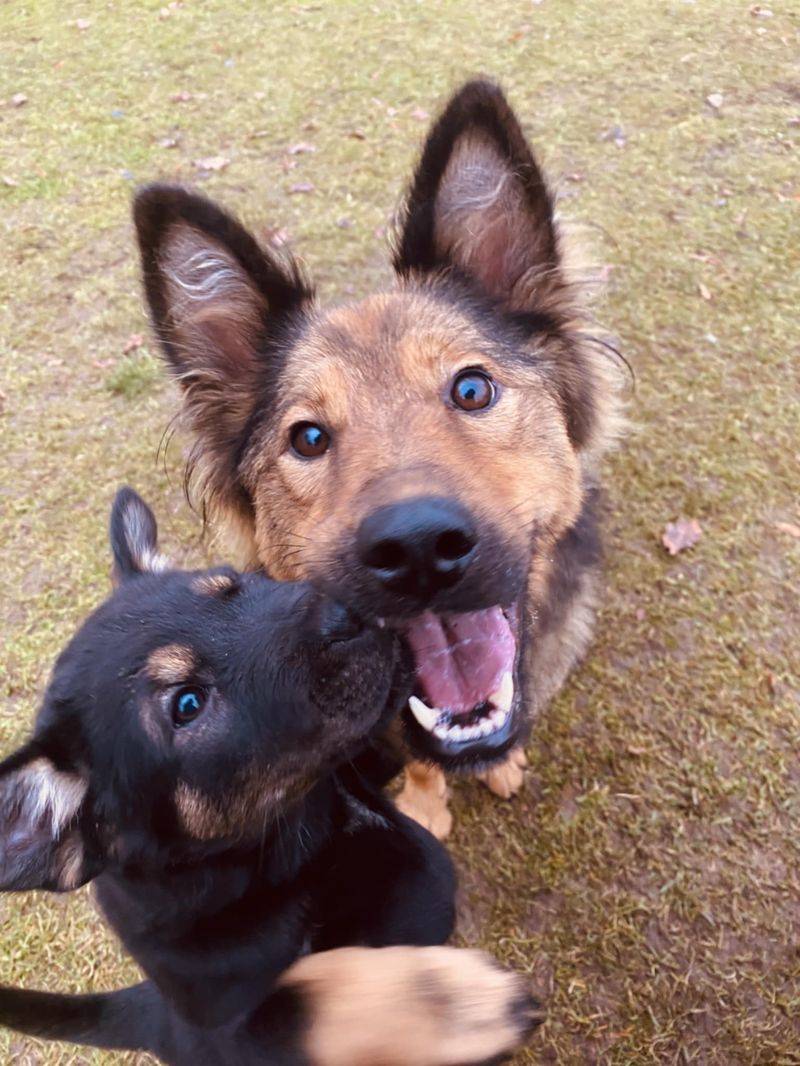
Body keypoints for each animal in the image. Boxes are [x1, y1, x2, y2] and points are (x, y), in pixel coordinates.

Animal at [0, 488, 541, 1065]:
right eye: (187, 704)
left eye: (232, 586)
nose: (347, 611)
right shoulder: (240, 1032)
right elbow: (307, 998)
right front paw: (450, 1002)